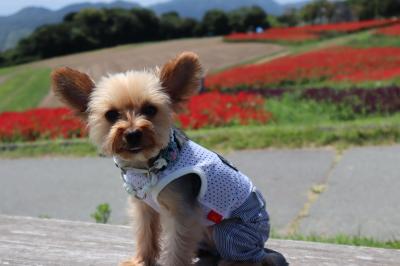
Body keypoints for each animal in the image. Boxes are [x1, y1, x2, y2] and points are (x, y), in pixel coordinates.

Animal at [51, 52, 288, 266]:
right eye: (111, 115)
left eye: (150, 109)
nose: (133, 133)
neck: (149, 165)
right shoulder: (144, 207)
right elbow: (145, 235)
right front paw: (140, 261)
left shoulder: (183, 213)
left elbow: (177, 247)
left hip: (230, 231)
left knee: (253, 257)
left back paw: (233, 261)